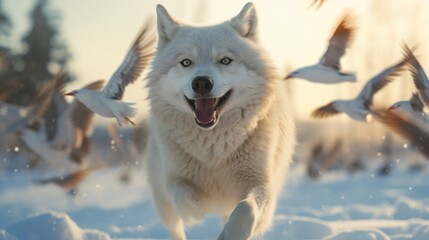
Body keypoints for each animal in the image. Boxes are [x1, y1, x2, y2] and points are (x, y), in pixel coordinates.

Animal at [144, 2, 294, 240]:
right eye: (186, 62)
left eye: (225, 60)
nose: (201, 83)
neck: (214, 148)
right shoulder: (174, 179)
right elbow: (183, 195)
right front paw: (198, 209)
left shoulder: (261, 184)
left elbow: (245, 209)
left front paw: (231, 233)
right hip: (162, 202)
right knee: (176, 227)